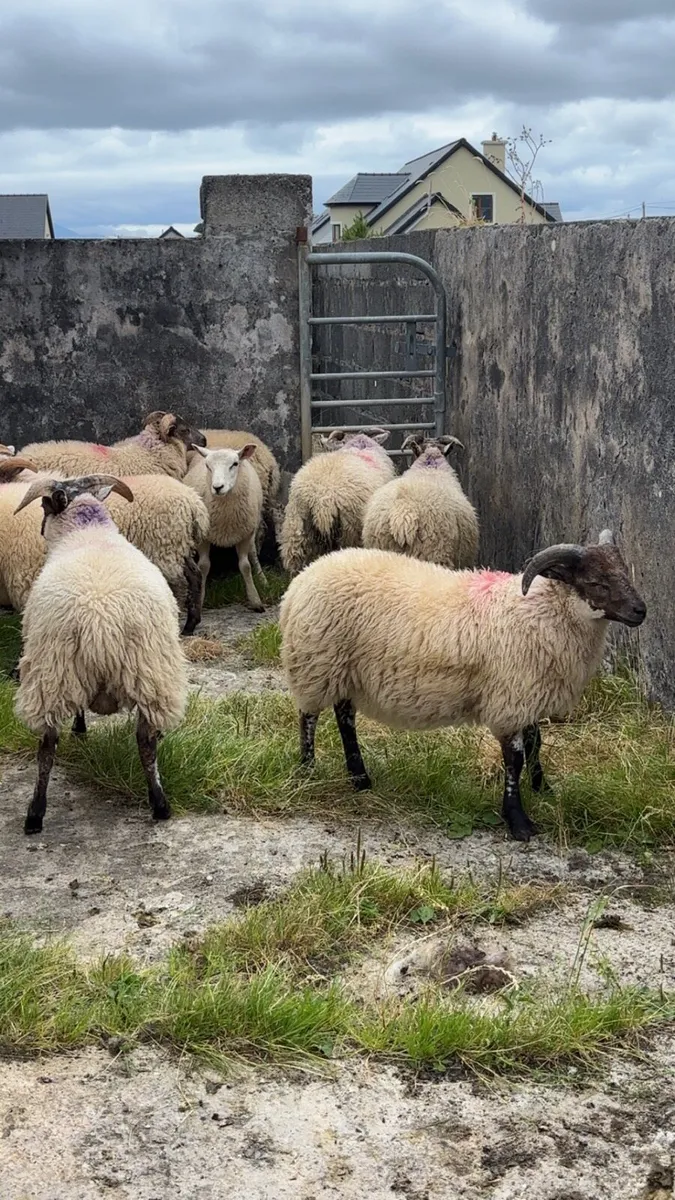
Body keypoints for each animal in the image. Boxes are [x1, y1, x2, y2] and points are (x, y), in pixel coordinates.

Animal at [0, 458, 209, 634]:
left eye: (45, 504)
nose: (42, 531)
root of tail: (193, 501)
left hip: (165, 547)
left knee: (181, 583)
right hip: (178, 547)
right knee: (195, 575)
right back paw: (191, 624)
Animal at [13, 473, 187, 834]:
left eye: (44, 506)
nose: (40, 529)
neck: (89, 532)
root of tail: (100, 620)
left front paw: (79, 728)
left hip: (53, 672)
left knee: (46, 748)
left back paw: (35, 814)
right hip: (151, 673)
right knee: (146, 742)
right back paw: (160, 805)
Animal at [184, 443, 266, 612]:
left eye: (234, 464)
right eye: (207, 466)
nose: (217, 487)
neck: (225, 516)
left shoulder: (245, 534)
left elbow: (245, 566)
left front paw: (255, 599)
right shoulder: (203, 536)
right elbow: (204, 566)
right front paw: (200, 599)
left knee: (253, 553)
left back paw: (262, 579)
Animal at [279, 532, 646, 842]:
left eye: (624, 573)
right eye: (597, 582)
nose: (640, 611)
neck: (542, 611)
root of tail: (302, 580)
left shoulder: (527, 694)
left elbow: (535, 744)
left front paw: (543, 788)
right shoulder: (509, 699)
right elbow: (514, 759)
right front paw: (518, 822)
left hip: (345, 671)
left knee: (345, 717)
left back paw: (360, 779)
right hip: (316, 663)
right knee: (309, 717)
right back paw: (308, 770)